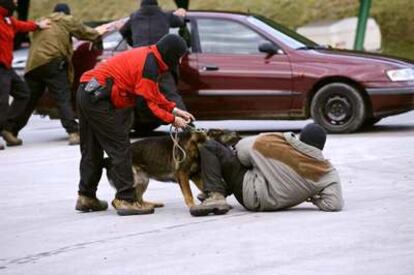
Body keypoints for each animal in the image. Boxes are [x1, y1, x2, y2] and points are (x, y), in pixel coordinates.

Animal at [106, 129, 241, 209]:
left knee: (139, 198)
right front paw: (193, 206)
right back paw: (125, 206)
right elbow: (189, 194)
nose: (240, 137)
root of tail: (108, 160)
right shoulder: (183, 175)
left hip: (143, 180)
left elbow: (205, 187)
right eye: (232, 134)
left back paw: (148, 205)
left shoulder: (195, 176)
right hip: (132, 180)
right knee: (116, 200)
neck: (197, 144)